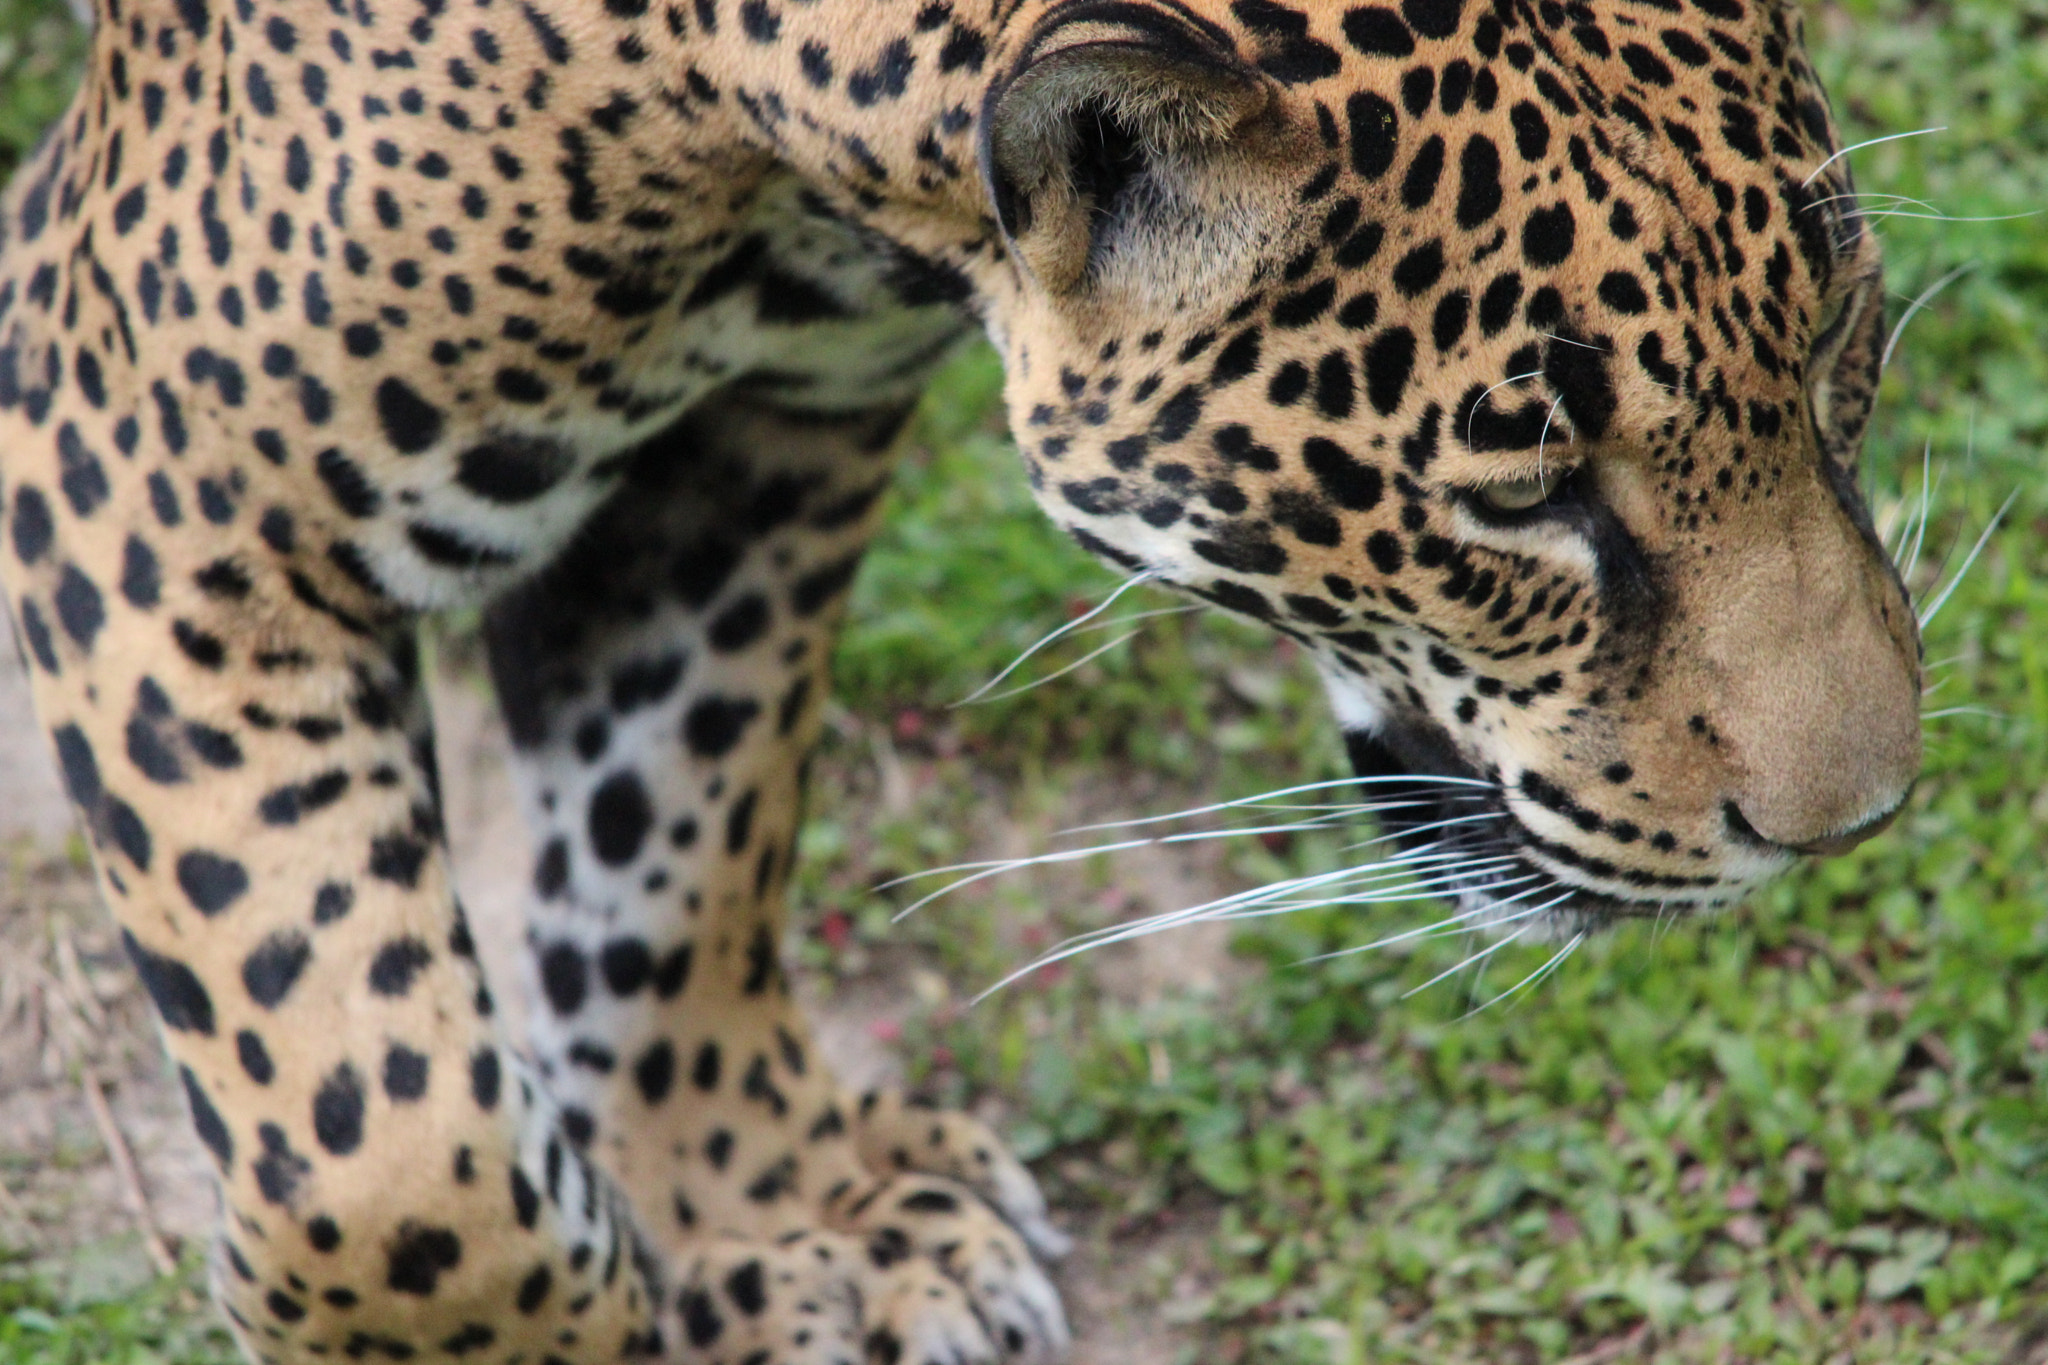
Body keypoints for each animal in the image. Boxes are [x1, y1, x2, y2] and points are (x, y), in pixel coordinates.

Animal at [0, 0, 1924, 1358]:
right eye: (1523, 495)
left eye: (1837, 329)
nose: (1856, 821)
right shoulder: (148, 468)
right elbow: (386, 1154)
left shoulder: (769, 432)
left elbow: (669, 846)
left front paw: (783, 1213)